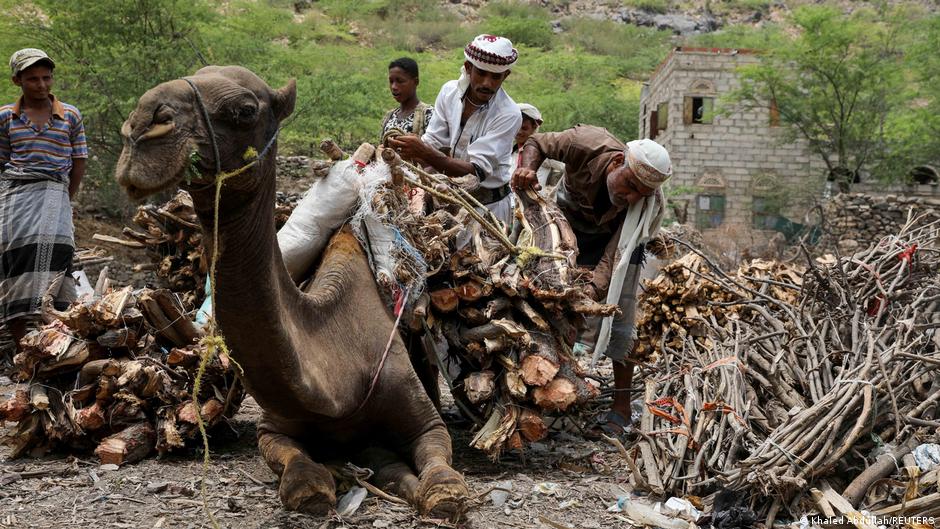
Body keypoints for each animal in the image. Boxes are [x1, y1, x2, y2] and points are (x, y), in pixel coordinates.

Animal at [115, 66, 468, 520]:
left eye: (245, 110)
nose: (141, 129)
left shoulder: (423, 418)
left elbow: (442, 479)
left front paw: (431, 488)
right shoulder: (274, 428)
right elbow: (300, 480)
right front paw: (328, 478)